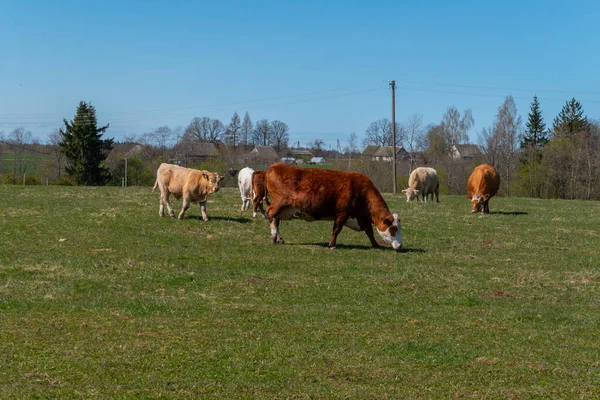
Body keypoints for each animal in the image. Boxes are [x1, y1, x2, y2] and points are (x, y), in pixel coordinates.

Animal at [264, 162, 400, 250]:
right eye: (393, 229)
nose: (400, 246)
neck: (362, 190)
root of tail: (275, 165)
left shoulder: (362, 217)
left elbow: (369, 231)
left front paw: (376, 244)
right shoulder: (342, 213)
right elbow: (337, 229)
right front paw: (332, 244)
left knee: (276, 219)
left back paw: (278, 238)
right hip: (278, 203)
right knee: (271, 215)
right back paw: (273, 237)